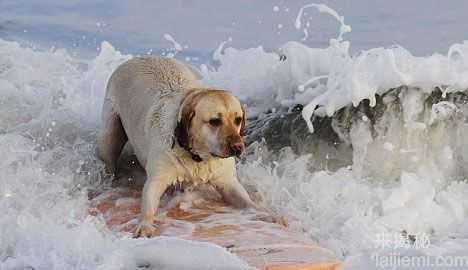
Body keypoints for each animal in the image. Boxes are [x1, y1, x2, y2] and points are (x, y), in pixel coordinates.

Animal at [98, 56, 258, 236]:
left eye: (238, 120)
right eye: (215, 121)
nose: (238, 147)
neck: (197, 156)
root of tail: (138, 58)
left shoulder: (228, 182)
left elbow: (249, 203)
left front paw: (266, 214)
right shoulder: (157, 178)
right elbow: (148, 205)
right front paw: (144, 224)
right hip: (109, 132)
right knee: (108, 154)